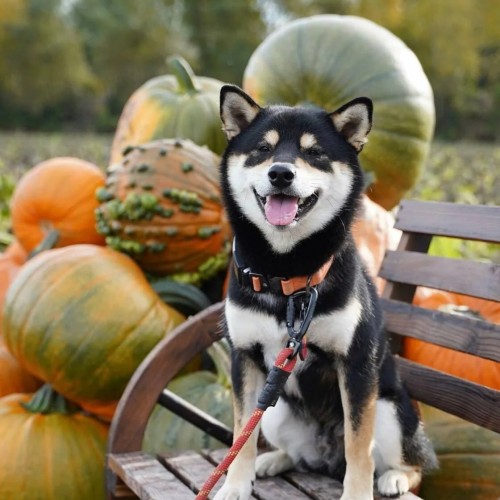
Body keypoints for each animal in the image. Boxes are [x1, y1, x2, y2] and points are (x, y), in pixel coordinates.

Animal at [217, 86, 436, 500]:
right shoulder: (244, 358)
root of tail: (324, 453)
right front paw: (236, 485)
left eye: (315, 152)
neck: (286, 275)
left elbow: (359, 448)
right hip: (275, 410)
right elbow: (241, 435)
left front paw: (358, 494)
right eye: (263, 149)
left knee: (410, 464)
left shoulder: (356, 364)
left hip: (389, 410)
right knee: (296, 455)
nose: (280, 173)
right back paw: (274, 461)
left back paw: (395, 478)